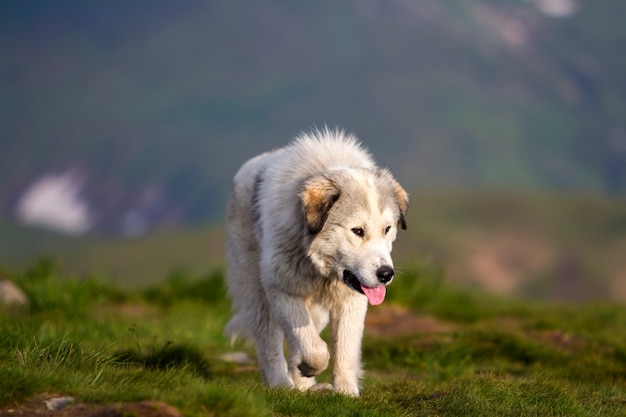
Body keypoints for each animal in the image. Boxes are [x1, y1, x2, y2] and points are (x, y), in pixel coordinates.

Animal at [222, 127, 408, 396]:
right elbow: (314, 348)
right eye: (357, 231)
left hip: (317, 310)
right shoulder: (283, 289)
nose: (386, 274)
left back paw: (304, 386)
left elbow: (344, 350)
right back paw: (282, 385)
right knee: (269, 344)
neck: (321, 268)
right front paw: (309, 367)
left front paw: (346, 394)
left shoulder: (351, 300)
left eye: (387, 229)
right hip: (257, 293)